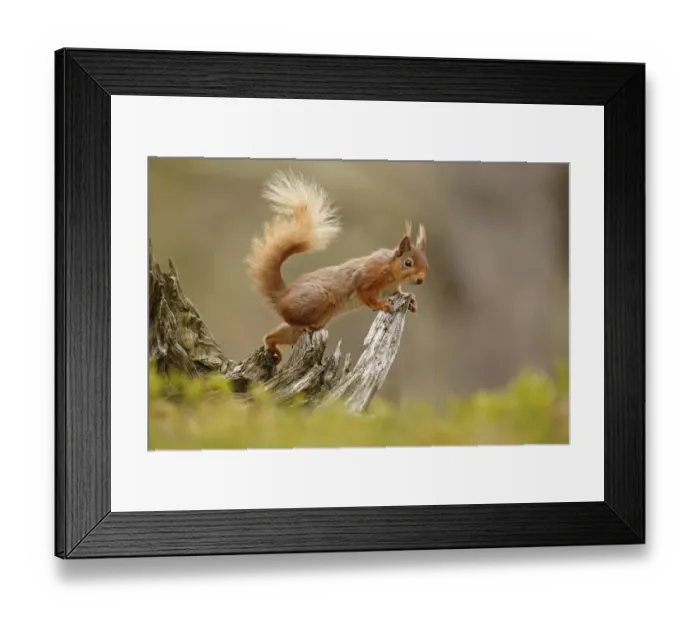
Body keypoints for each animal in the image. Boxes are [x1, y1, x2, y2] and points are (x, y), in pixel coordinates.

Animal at [246, 169, 428, 364]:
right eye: (408, 263)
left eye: (427, 264)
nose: (420, 280)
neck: (391, 271)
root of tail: (282, 295)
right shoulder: (369, 277)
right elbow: (366, 295)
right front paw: (381, 305)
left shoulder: (392, 288)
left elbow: (399, 293)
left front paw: (412, 300)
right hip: (320, 299)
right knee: (292, 319)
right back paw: (304, 326)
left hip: (310, 324)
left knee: (276, 334)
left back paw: (273, 345)